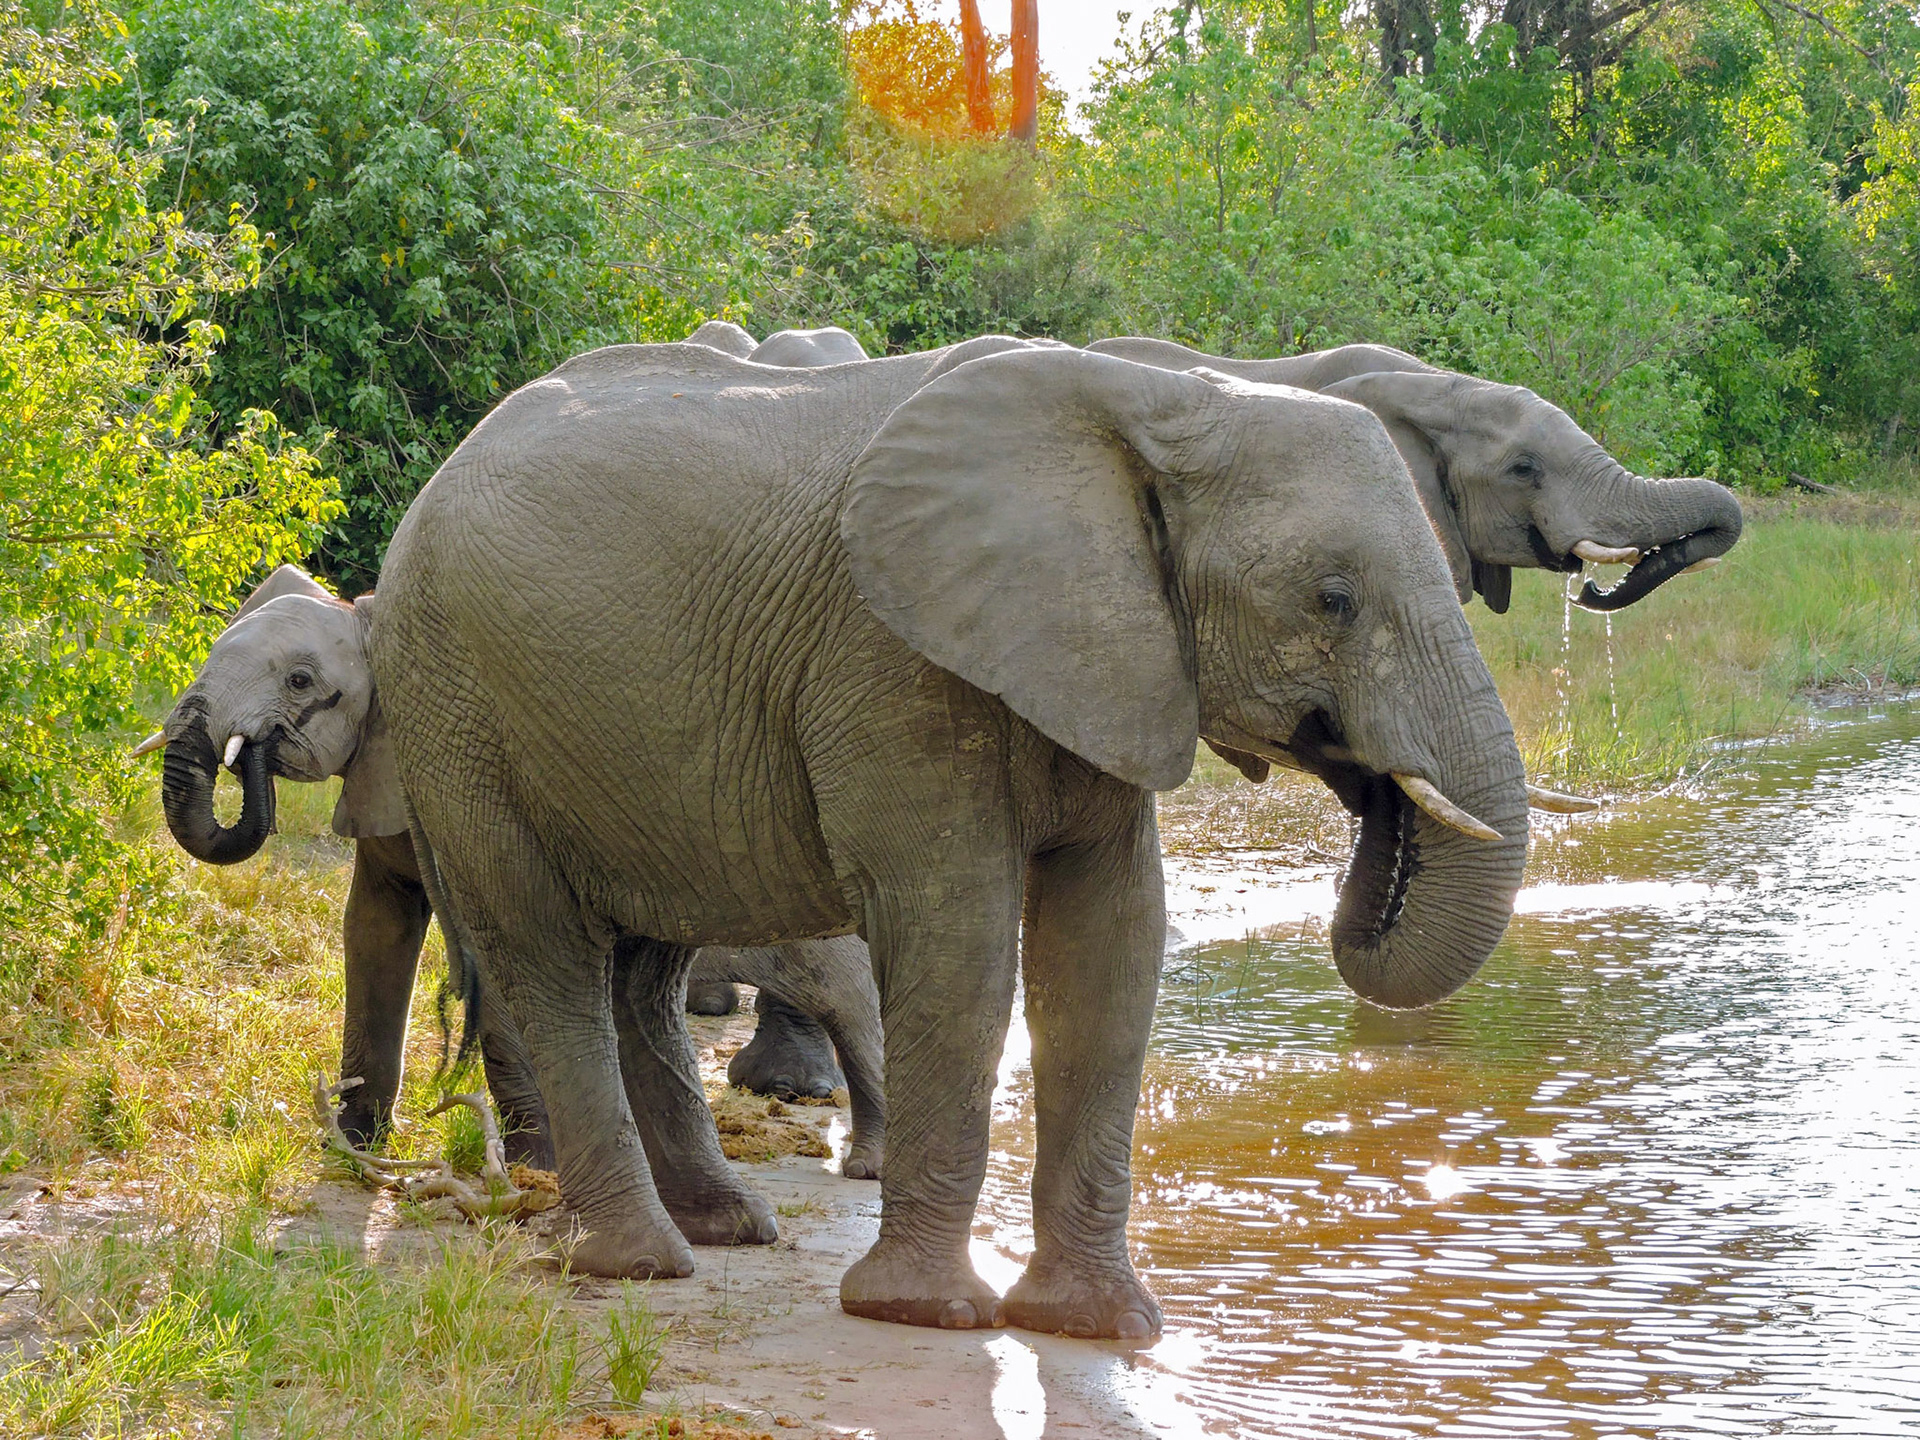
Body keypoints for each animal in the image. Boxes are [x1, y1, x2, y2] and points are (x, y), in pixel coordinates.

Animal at [135, 564, 887, 1180]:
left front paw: (539, 1169)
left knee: (845, 995)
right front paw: (351, 1151)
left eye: (301, 682)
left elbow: (490, 953)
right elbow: (374, 927)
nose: (257, 750)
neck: (368, 615)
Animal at [370, 339, 1531, 1338]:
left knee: (644, 970)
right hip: (458, 712)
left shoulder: (1109, 658)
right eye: (1332, 599)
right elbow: (957, 935)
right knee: (550, 957)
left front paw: (1101, 1326)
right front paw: (927, 1312)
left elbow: (1111, 945)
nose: (1371, 788)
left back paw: (728, 1226)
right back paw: (640, 1262)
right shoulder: (892, 658)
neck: (1159, 399)